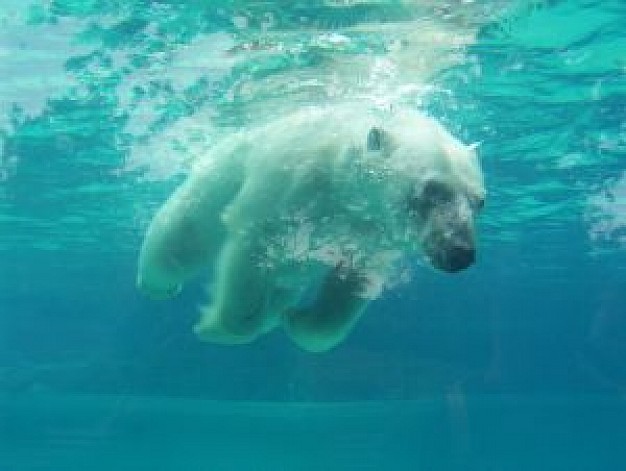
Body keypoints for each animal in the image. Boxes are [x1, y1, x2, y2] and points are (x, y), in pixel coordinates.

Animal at [136, 105, 482, 352]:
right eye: (431, 190)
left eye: (479, 202)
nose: (459, 253)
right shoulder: (290, 189)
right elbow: (252, 252)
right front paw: (216, 327)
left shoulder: (370, 234)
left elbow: (350, 286)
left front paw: (298, 321)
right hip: (219, 174)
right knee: (180, 240)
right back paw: (158, 284)